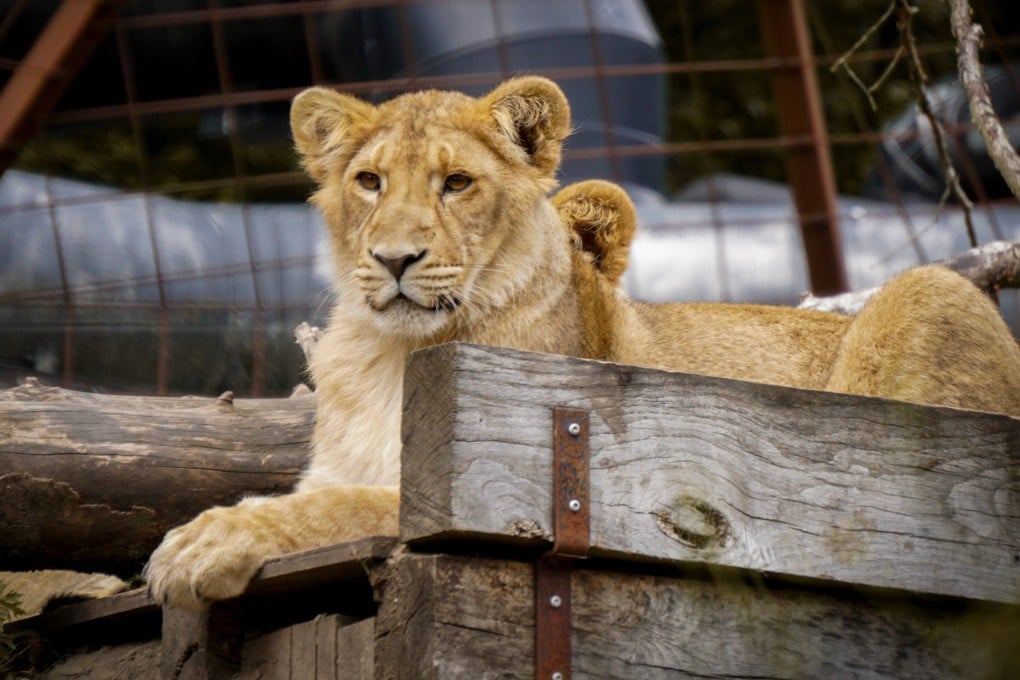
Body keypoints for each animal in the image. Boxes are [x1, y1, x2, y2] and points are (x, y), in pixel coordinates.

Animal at [145, 77, 1020, 610]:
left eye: (456, 183)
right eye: (369, 182)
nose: (395, 259)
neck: (389, 352)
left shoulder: (486, 481)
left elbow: (345, 505)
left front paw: (202, 542)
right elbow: (325, 492)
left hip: (930, 291)